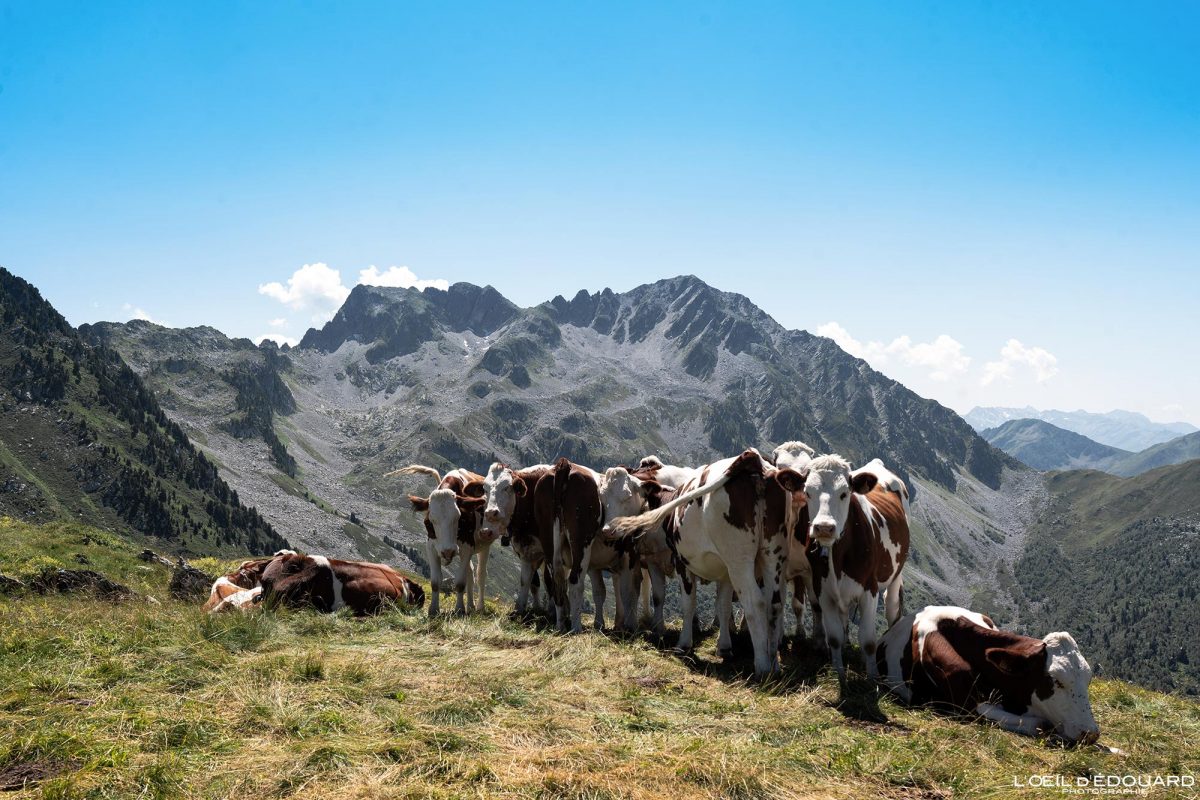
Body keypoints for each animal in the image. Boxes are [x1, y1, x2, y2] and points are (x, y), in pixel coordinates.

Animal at [477, 462, 552, 614]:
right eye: (485, 488)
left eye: (507, 487)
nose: (491, 512)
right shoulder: (524, 550)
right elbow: (529, 581)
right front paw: (529, 608)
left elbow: (550, 581)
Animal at [609, 450, 806, 676]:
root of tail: (753, 459)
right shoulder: (724, 571)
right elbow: (723, 605)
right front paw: (724, 646)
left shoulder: (680, 562)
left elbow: (687, 603)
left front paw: (683, 643)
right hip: (773, 554)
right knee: (774, 603)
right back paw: (774, 664)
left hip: (740, 559)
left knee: (755, 602)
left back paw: (763, 666)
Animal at [801, 453, 912, 686]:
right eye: (807, 492)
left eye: (844, 493)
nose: (824, 527)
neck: (837, 556)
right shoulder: (823, 591)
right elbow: (834, 637)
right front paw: (840, 674)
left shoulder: (869, 590)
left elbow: (868, 640)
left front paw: (872, 679)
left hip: (896, 572)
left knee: (892, 607)